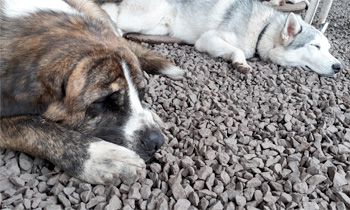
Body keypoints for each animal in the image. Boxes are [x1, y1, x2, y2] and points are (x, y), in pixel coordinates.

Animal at [101, 0, 342, 76]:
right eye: (315, 46)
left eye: (328, 48)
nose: (338, 66)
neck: (263, 29)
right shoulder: (208, 38)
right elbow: (238, 50)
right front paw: (240, 63)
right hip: (145, 17)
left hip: (158, 28)